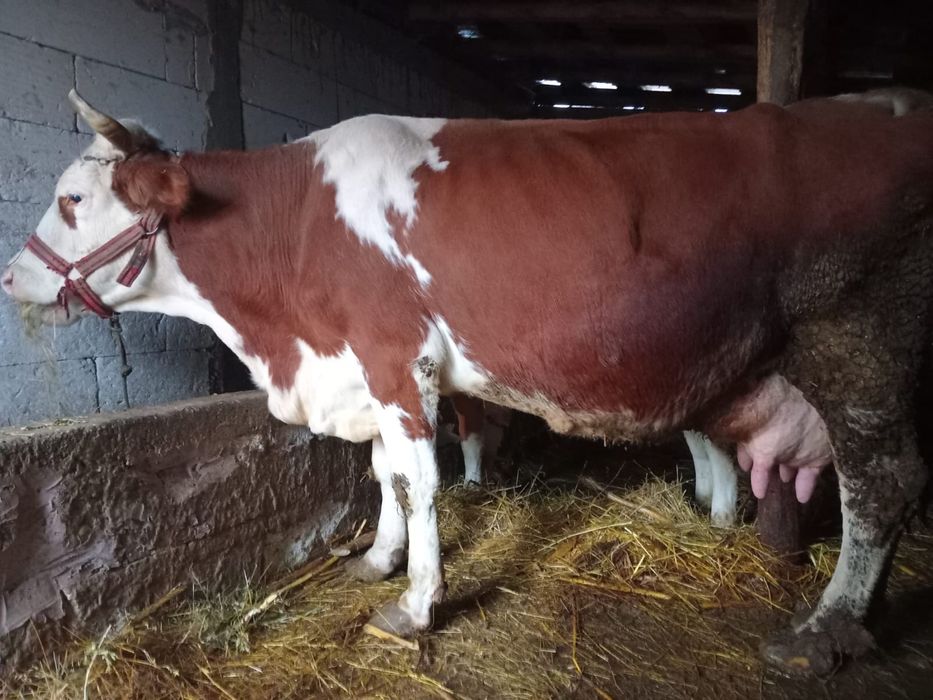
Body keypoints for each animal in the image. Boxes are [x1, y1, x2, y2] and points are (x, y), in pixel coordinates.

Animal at [4, 88, 932, 675]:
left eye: (75, 198)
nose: (12, 276)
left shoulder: (393, 356)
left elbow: (418, 480)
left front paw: (416, 603)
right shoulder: (367, 371)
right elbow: (382, 473)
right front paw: (377, 560)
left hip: (858, 346)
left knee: (879, 485)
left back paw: (823, 633)